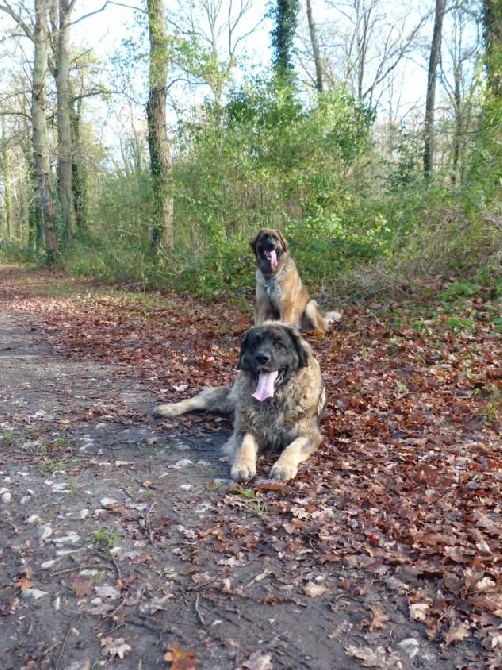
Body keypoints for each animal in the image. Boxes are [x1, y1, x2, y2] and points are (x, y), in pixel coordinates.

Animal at [154, 324, 326, 486]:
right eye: (255, 343)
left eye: (279, 344)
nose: (262, 358)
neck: (273, 400)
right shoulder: (247, 429)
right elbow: (246, 446)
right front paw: (243, 466)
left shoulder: (309, 435)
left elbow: (293, 447)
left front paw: (283, 466)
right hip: (228, 398)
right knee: (199, 400)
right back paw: (168, 408)